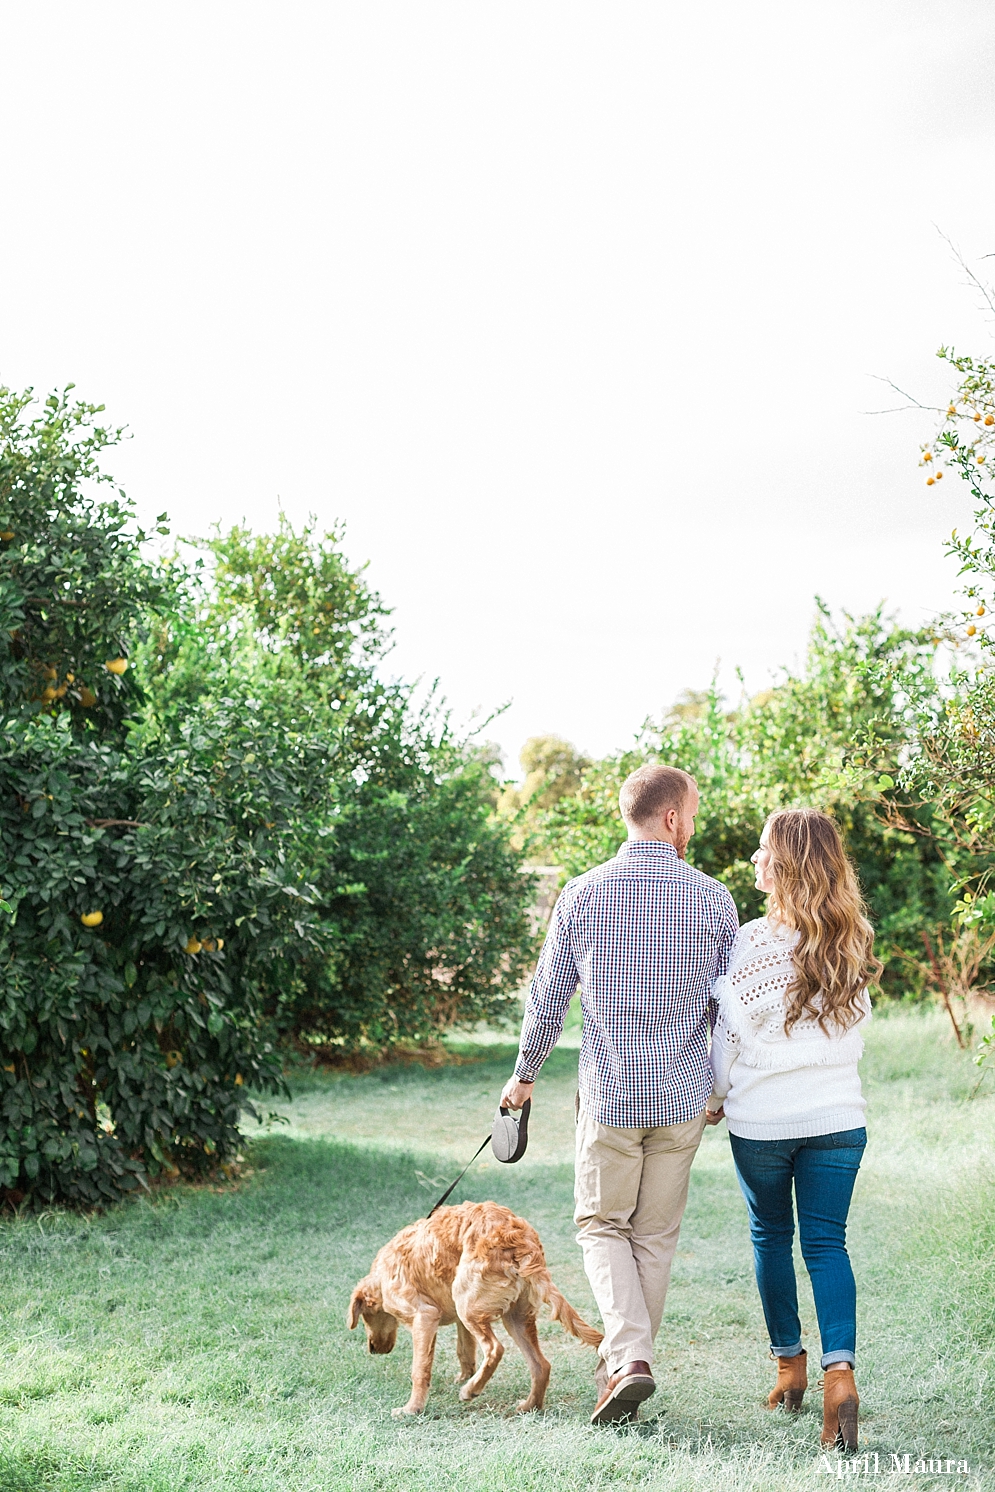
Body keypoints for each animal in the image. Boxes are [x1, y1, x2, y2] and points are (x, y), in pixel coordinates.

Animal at [346, 1193, 602, 1414]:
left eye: (366, 1317)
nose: (373, 1349)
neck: (381, 1275)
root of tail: (518, 1238)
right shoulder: (453, 1323)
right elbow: (464, 1351)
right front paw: (462, 1377)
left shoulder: (425, 1316)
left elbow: (419, 1370)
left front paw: (412, 1408)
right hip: (512, 1316)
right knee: (541, 1365)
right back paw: (529, 1405)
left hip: (468, 1306)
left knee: (495, 1349)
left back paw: (471, 1391)